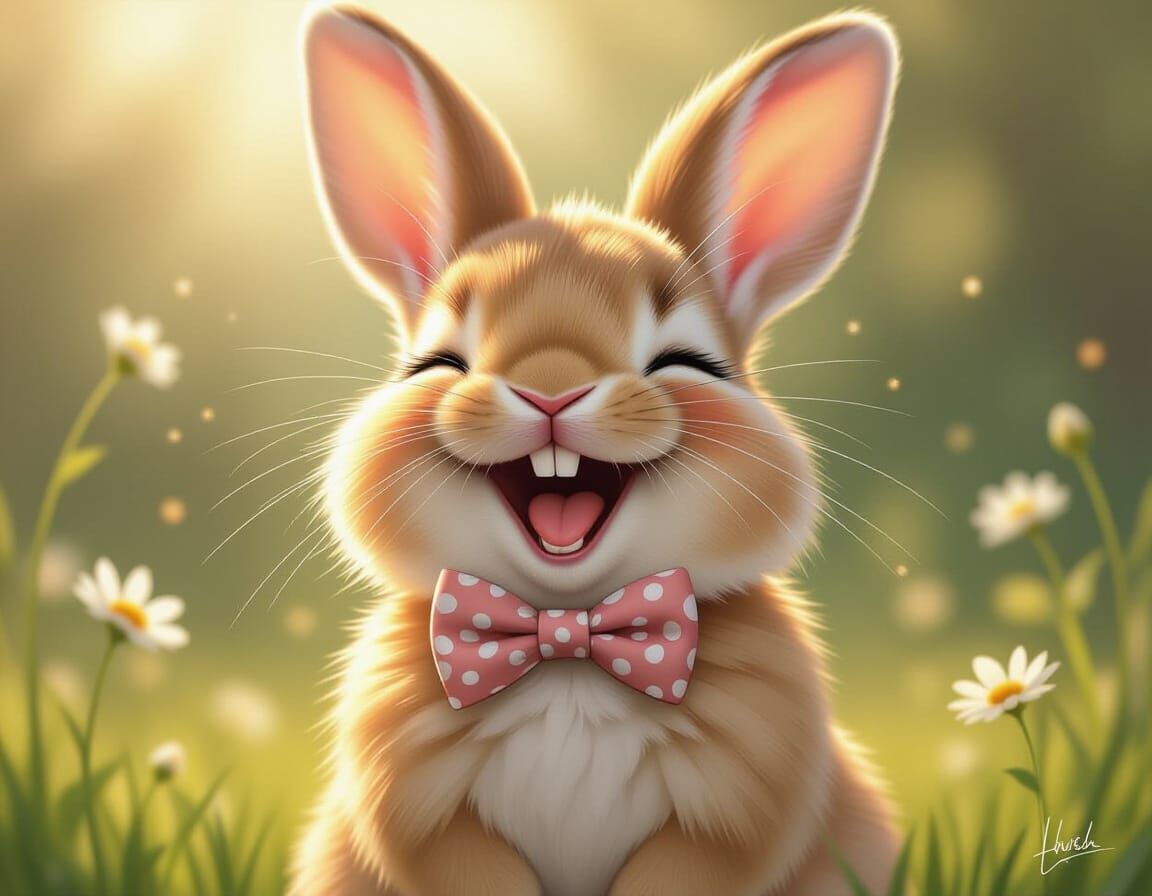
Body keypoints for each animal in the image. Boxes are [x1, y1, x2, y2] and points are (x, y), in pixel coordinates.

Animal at [290, 5, 901, 895]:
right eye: (439, 365)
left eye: (685, 362)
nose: (551, 391)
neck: (566, 642)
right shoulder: (428, 820)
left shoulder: (730, 822)